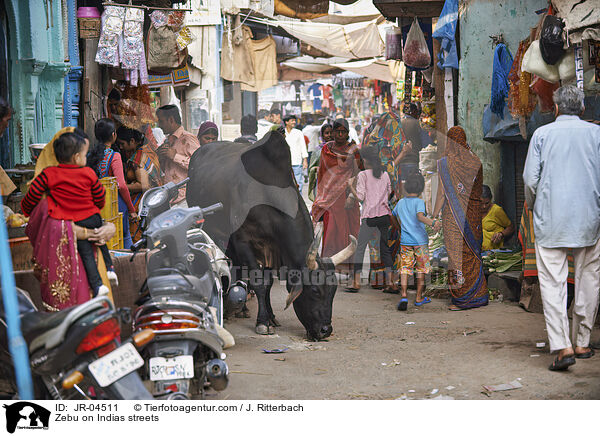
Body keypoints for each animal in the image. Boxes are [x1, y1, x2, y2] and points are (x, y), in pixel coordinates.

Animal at [188, 130, 356, 340]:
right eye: (315, 290)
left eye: (333, 290)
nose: (326, 330)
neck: (267, 196)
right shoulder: (243, 242)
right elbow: (258, 282)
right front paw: (262, 322)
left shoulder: (272, 249)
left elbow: (267, 284)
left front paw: (271, 317)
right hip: (214, 231)